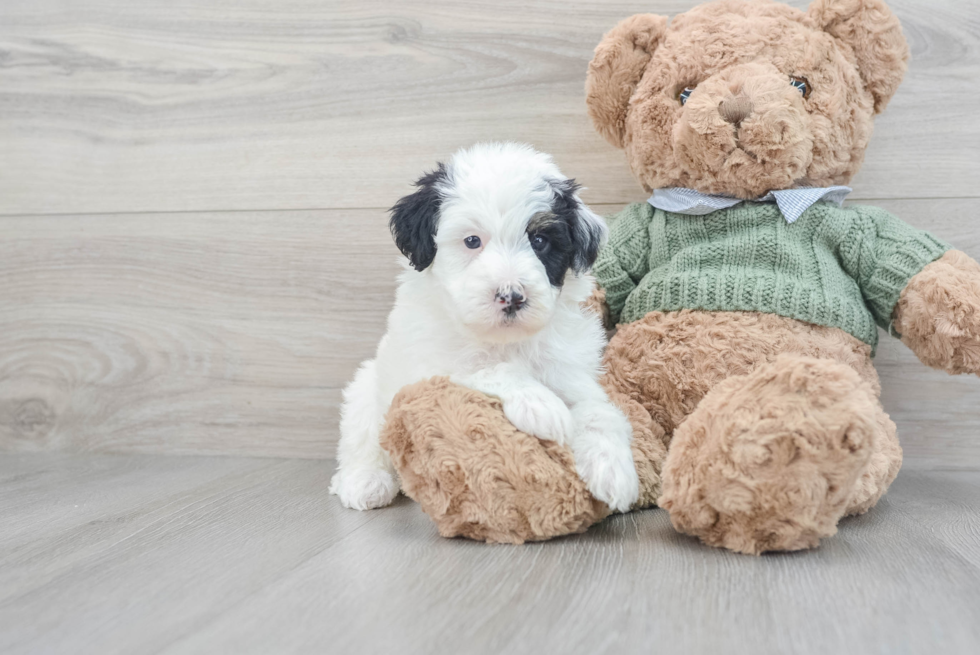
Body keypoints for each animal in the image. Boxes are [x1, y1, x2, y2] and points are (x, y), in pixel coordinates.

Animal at [332, 142, 644, 512]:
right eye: (471, 241)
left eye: (540, 241)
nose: (511, 296)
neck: (506, 340)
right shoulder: (429, 370)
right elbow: (488, 368)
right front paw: (540, 405)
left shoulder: (572, 374)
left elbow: (599, 412)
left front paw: (613, 471)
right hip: (368, 387)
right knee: (363, 438)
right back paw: (365, 482)